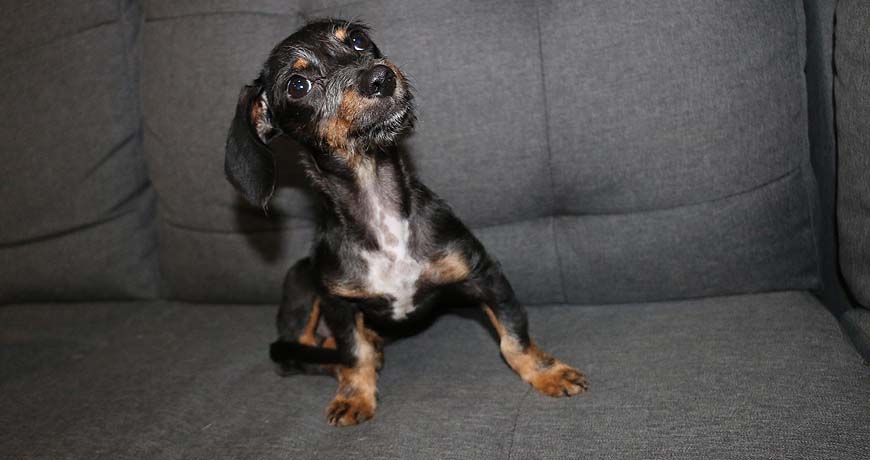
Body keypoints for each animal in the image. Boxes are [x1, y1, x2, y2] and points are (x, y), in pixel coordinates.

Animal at [225, 19, 588, 427]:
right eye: (297, 85)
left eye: (358, 40)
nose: (380, 78)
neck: (382, 215)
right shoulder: (338, 303)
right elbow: (353, 353)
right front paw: (355, 394)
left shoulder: (484, 271)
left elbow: (514, 335)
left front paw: (547, 373)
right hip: (302, 277)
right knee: (298, 352)